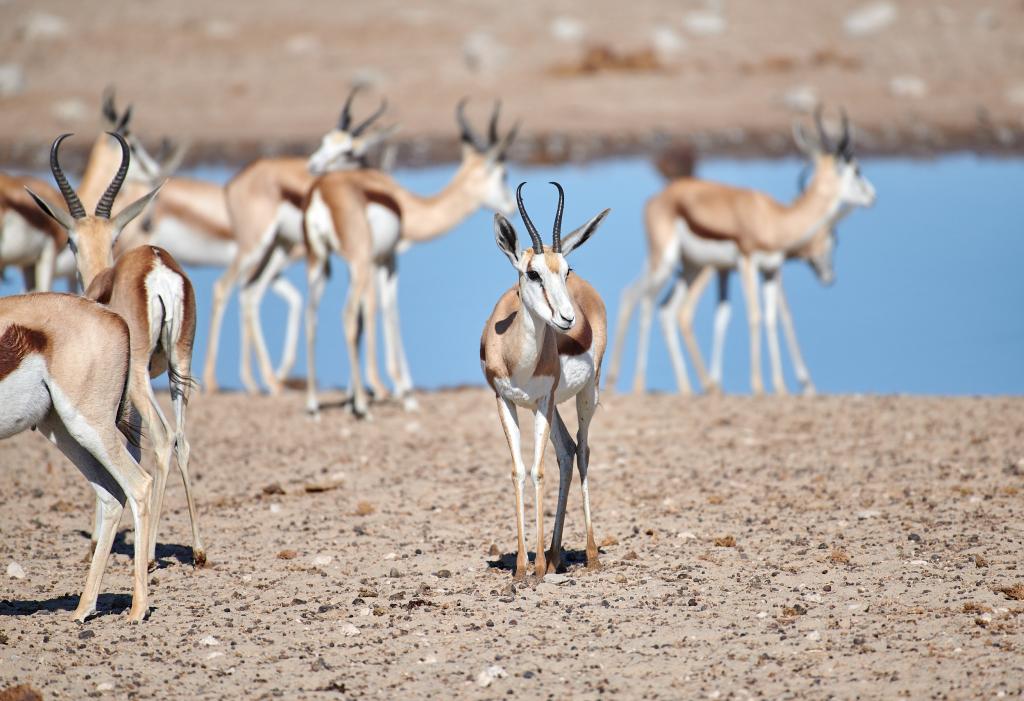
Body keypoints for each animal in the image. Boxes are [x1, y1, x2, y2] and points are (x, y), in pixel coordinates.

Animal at [27, 130, 205, 568]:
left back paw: (152, 555)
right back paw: (198, 550)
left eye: (70, 241)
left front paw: (96, 538)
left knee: (163, 440)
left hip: (141, 377)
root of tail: (158, 267)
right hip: (181, 365)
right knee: (182, 439)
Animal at [201, 85, 393, 392]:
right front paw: (378, 386)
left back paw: (262, 382)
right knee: (224, 287)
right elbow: (369, 306)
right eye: (325, 140)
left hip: (277, 248)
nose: (313, 165)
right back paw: (214, 381)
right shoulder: (363, 258)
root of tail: (235, 181)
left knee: (249, 293)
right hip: (255, 246)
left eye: (348, 150)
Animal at [299, 98, 516, 415]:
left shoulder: (374, 261)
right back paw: (363, 406)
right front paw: (402, 392)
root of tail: (321, 192)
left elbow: (371, 313)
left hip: (319, 261)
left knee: (312, 314)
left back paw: (315, 402)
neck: (406, 205)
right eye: (503, 173)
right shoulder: (385, 258)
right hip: (356, 261)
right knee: (349, 314)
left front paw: (361, 393)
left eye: (346, 148)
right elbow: (385, 309)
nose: (511, 205)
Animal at [479, 180, 606, 581]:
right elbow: (519, 471)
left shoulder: (543, 401)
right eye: (532, 273)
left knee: (582, 451)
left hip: (586, 394)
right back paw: (553, 555)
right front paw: (522, 565)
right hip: (551, 406)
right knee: (567, 450)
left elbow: (537, 471)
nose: (567, 318)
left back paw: (589, 555)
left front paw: (533, 568)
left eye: (566, 269)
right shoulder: (505, 400)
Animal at [602, 109, 876, 392]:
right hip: (668, 262)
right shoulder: (747, 261)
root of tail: (656, 198)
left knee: (657, 306)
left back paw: (685, 385)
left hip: (690, 267)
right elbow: (757, 316)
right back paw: (646, 383)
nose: (872, 196)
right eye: (857, 170)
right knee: (651, 303)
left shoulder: (768, 268)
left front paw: (781, 386)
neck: (776, 219)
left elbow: (767, 317)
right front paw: (762, 385)